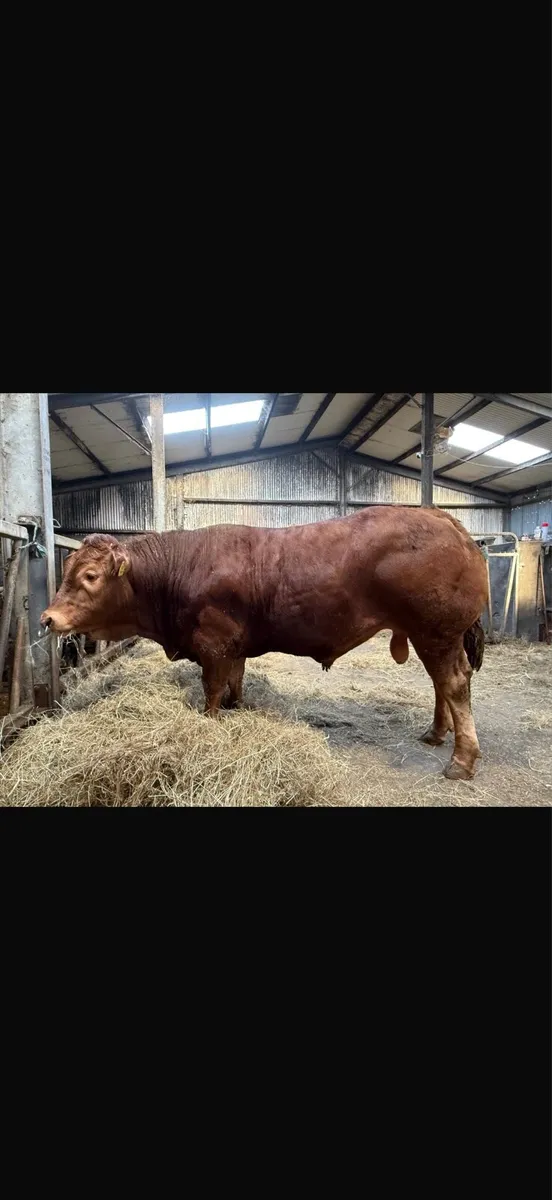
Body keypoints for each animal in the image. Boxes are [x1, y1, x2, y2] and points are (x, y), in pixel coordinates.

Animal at [41, 507, 488, 780]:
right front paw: (237, 707)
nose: (48, 618)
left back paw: (461, 760)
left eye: (91, 576)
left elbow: (212, 689)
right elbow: (235, 680)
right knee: (440, 684)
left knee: (454, 684)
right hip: (431, 636)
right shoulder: (234, 646)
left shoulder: (214, 643)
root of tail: (437, 515)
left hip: (437, 633)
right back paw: (435, 733)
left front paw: (211, 721)